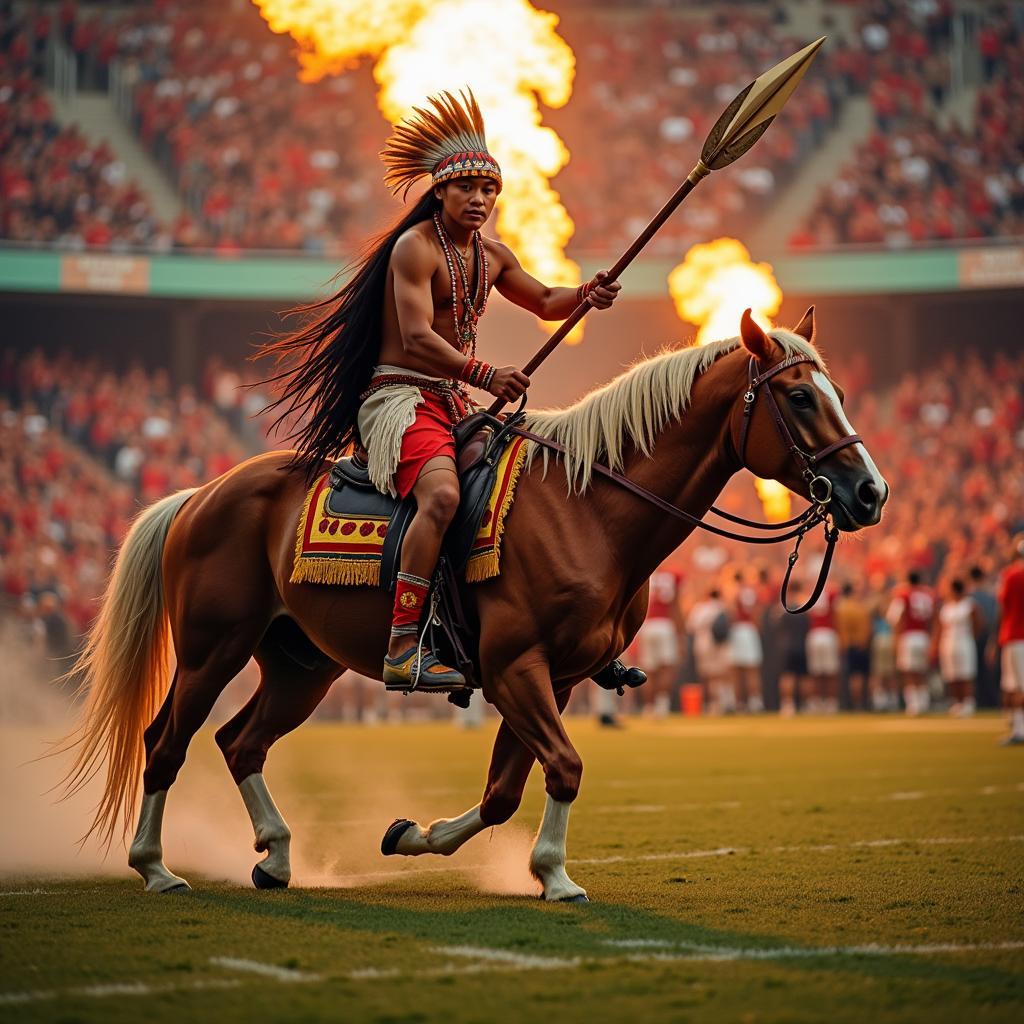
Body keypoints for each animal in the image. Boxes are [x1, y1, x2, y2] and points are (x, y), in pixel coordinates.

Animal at [59, 307, 888, 901]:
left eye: (841, 394)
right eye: (800, 397)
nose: (870, 492)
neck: (588, 507)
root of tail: (202, 493)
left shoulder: (556, 679)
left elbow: (502, 792)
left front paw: (417, 838)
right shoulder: (515, 666)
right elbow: (564, 766)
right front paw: (555, 875)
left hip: (301, 665)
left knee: (241, 743)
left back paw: (276, 857)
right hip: (212, 649)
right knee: (166, 742)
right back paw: (155, 866)